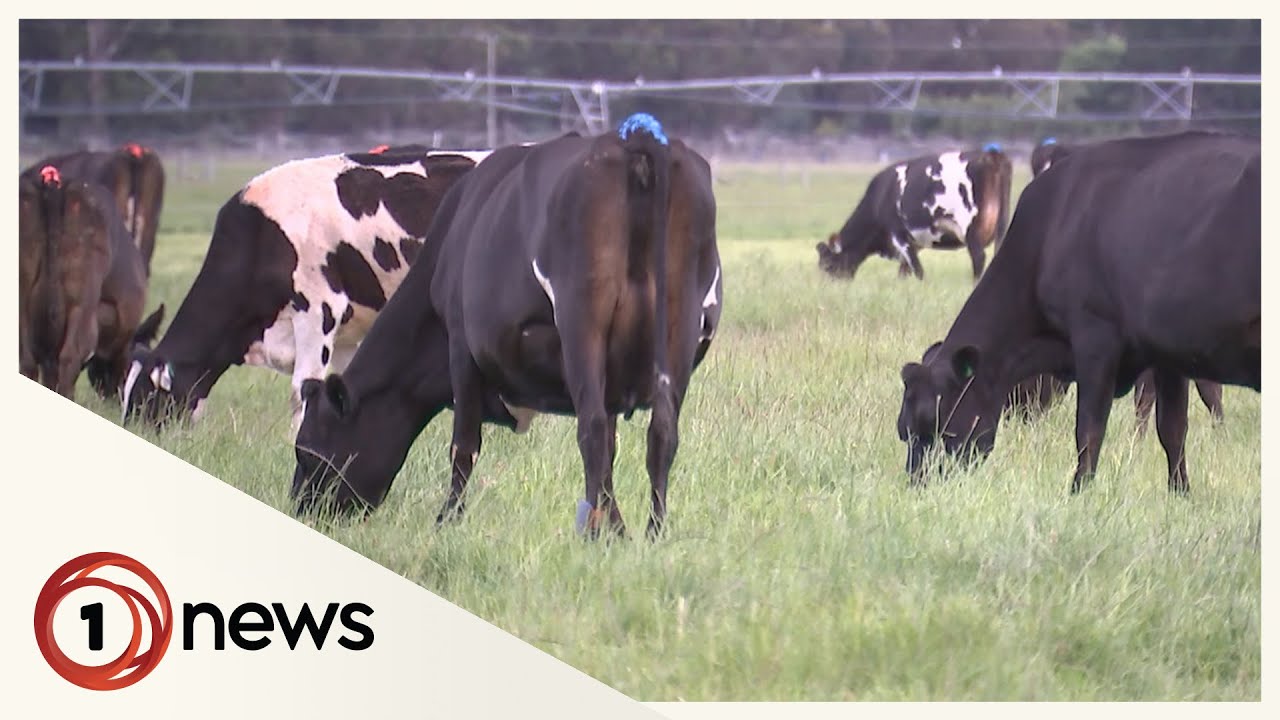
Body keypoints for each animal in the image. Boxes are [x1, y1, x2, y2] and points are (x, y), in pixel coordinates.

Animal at [290, 115, 723, 541]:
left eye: (307, 449)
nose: (301, 509)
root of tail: (637, 139)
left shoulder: (461, 346)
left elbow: (464, 444)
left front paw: (446, 523)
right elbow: (613, 451)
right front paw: (618, 530)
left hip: (582, 321)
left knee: (592, 429)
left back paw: (595, 534)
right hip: (678, 322)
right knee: (660, 432)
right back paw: (655, 535)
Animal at [816, 145, 1012, 282]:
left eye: (828, 265)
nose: (825, 286)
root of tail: (992, 155)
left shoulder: (899, 235)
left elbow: (918, 271)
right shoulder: (915, 242)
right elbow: (904, 272)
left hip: (970, 228)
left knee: (978, 259)